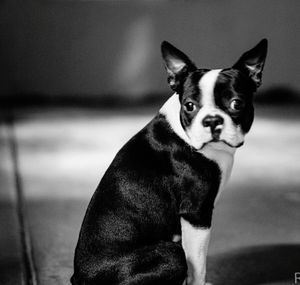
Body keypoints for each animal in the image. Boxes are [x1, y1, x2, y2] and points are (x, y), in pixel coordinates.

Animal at [71, 40, 268, 284]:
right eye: (190, 106)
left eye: (236, 104)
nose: (212, 120)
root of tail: (81, 278)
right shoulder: (196, 213)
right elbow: (198, 264)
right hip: (171, 253)